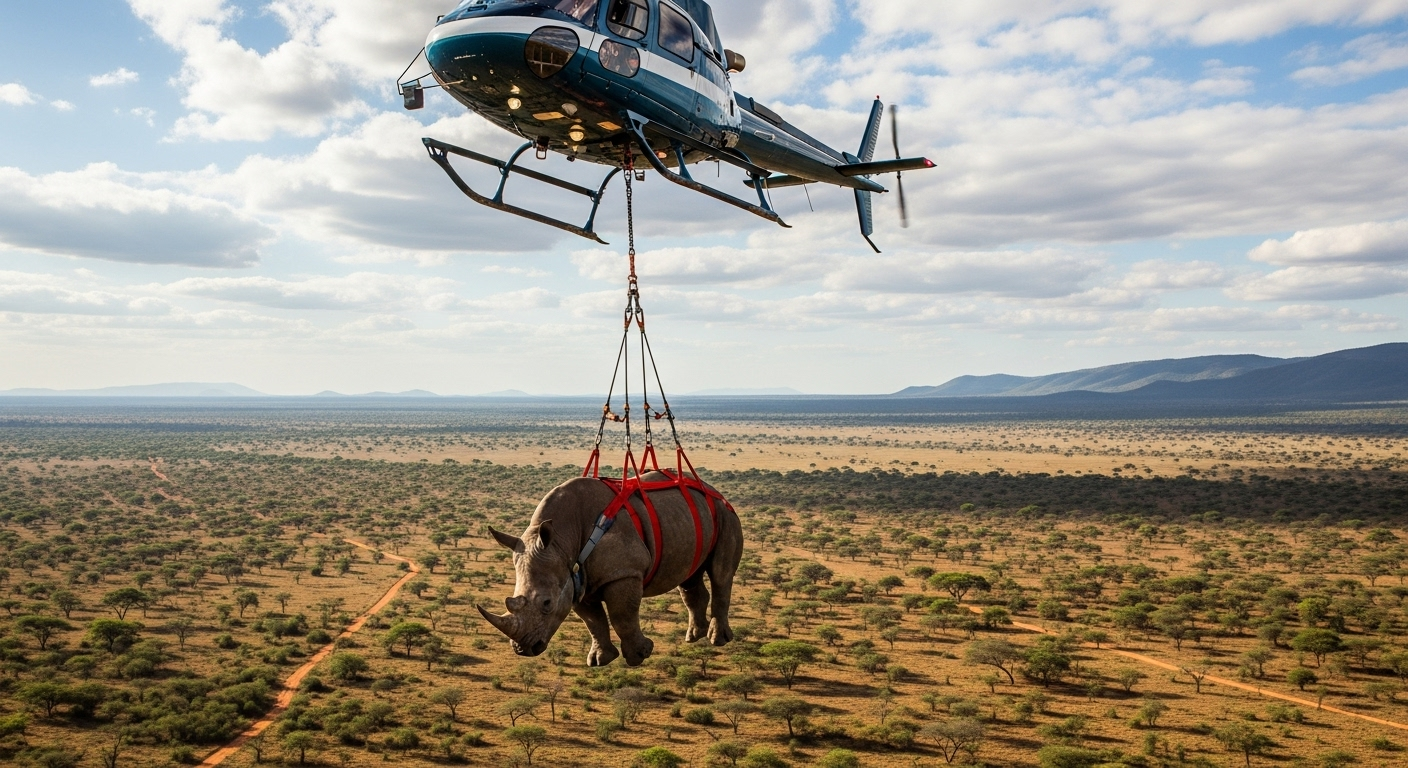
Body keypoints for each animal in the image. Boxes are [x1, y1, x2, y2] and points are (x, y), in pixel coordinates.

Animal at [478, 472, 742, 667]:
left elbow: (621, 615)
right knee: (689, 579)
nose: (523, 649)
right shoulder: (574, 578)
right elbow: (593, 621)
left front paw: (639, 656)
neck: (562, 541)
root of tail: (711, 488)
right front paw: (600, 660)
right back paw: (694, 636)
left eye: (546, 604)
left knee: (720, 574)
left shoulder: (624, 571)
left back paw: (718, 640)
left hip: (724, 513)